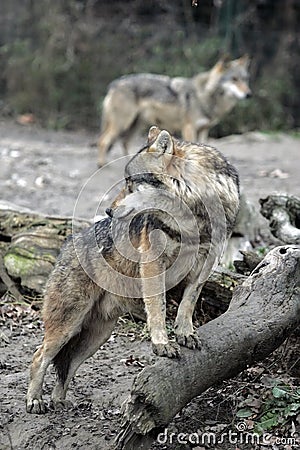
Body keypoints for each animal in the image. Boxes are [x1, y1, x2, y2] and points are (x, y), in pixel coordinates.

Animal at [27, 126, 240, 414]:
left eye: (130, 181)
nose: (108, 210)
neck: (193, 218)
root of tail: (66, 246)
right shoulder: (153, 264)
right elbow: (158, 307)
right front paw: (162, 344)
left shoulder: (206, 264)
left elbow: (189, 301)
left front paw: (185, 333)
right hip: (68, 325)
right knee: (39, 356)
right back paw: (35, 400)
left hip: (97, 336)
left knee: (66, 365)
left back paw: (60, 402)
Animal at [97, 55, 250, 166]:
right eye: (234, 79)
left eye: (244, 79)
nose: (249, 94)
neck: (204, 96)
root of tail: (114, 84)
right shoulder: (189, 128)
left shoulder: (204, 130)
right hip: (122, 124)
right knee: (103, 140)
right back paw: (102, 164)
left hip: (135, 125)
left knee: (124, 142)